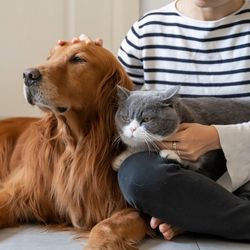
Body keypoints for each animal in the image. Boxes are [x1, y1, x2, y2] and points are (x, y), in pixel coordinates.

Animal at [0, 40, 149, 248]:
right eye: (49, 58)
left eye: (78, 59)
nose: (28, 74)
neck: (75, 146)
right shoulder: (17, 192)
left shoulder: (133, 210)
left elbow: (104, 227)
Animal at [114, 87, 250, 181]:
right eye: (125, 118)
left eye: (147, 119)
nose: (132, 129)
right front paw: (120, 158)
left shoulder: (212, 161)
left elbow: (200, 169)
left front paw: (171, 154)